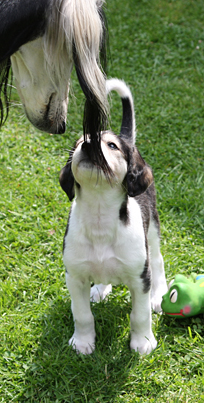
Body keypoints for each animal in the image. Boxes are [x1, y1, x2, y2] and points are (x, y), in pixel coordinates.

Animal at [59, 79, 167, 356]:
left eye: (111, 146)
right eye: (79, 142)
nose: (88, 146)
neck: (99, 216)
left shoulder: (140, 277)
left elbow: (139, 315)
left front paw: (143, 342)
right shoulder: (74, 276)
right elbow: (82, 315)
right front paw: (83, 342)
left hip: (153, 230)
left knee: (158, 261)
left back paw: (159, 295)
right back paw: (99, 289)